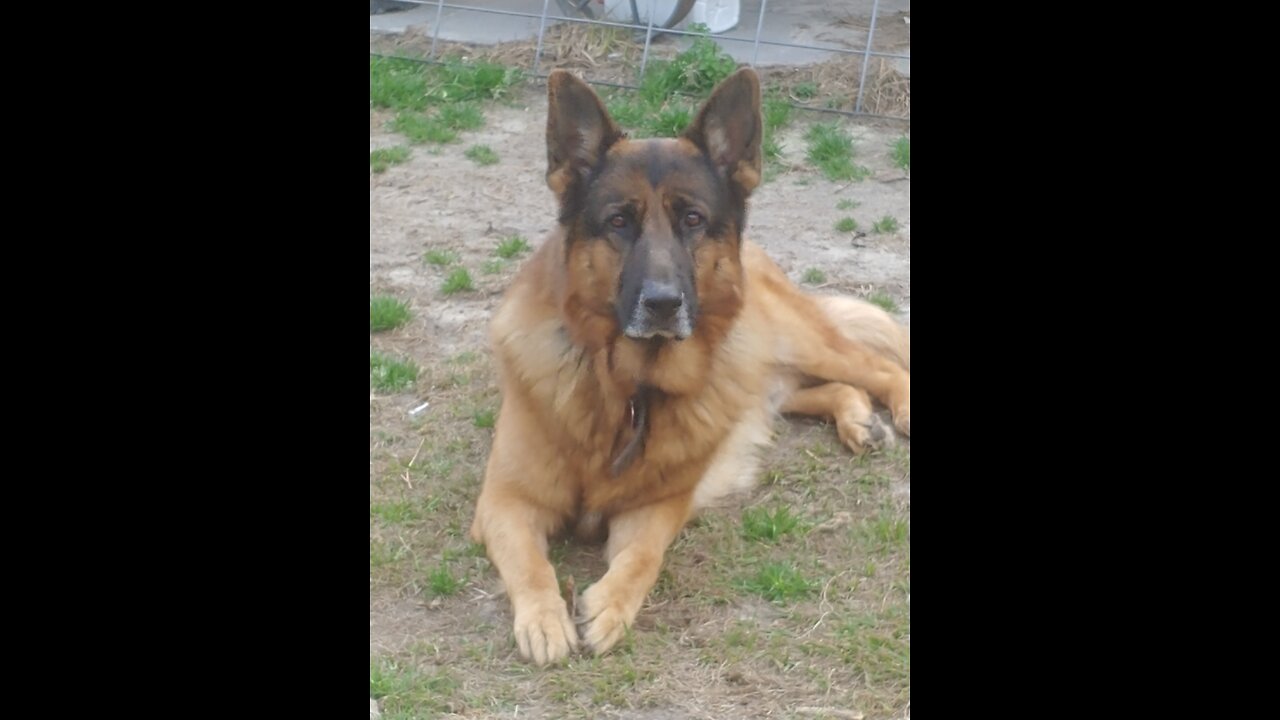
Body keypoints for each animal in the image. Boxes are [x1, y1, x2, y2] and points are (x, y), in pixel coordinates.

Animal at [473, 67, 911, 661]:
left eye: (693, 219)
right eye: (619, 221)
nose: (663, 303)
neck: (627, 390)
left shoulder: (655, 509)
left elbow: (642, 558)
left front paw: (609, 608)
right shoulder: (504, 503)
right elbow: (529, 563)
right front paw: (544, 619)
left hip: (795, 343)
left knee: (878, 368)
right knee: (818, 390)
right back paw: (859, 420)